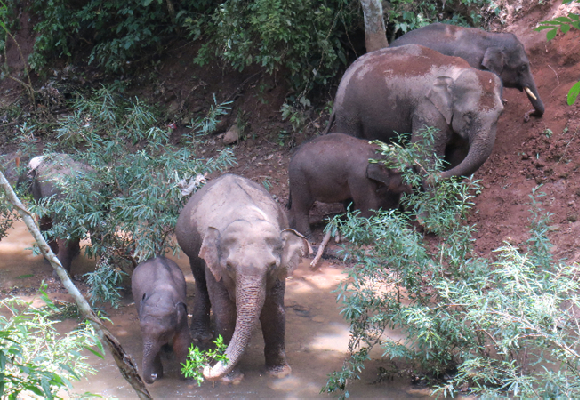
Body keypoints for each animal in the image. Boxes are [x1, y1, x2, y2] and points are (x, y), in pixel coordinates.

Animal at [131, 256, 190, 384]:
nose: (153, 376)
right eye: (141, 330)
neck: (162, 294)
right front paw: (159, 376)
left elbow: (181, 343)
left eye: (163, 334)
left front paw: (185, 378)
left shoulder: (182, 315)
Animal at [174, 173, 308, 382]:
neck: (248, 215)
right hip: (191, 247)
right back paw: (201, 336)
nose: (206, 368)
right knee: (201, 283)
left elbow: (274, 310)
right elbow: (224, 310)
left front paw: (279, 373)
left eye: (272, 266)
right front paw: (232, 378)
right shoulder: (216, 268)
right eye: (229, 266)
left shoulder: (278, 275)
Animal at [326, 43, 502, 180]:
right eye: (468, 116)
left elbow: (458, 156)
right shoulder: (428, 111)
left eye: (500, 115)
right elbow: (425, 153)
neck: (457, 73)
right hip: (348, 112)